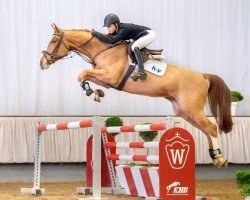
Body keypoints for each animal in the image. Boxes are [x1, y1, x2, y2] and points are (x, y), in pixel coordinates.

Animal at [39, 24, 232, 170]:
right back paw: (215, 157)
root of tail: (202, 76)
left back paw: (220, 159)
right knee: (206, 130)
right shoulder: (106, 80)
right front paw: (96, 93)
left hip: (192, 109)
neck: (104, 50)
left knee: (211, 128)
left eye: (54, 41)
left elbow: (82, 74)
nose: (42, 63)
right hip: (184, 111)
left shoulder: (110, 76)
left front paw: (92, 93)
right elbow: (84, 76)